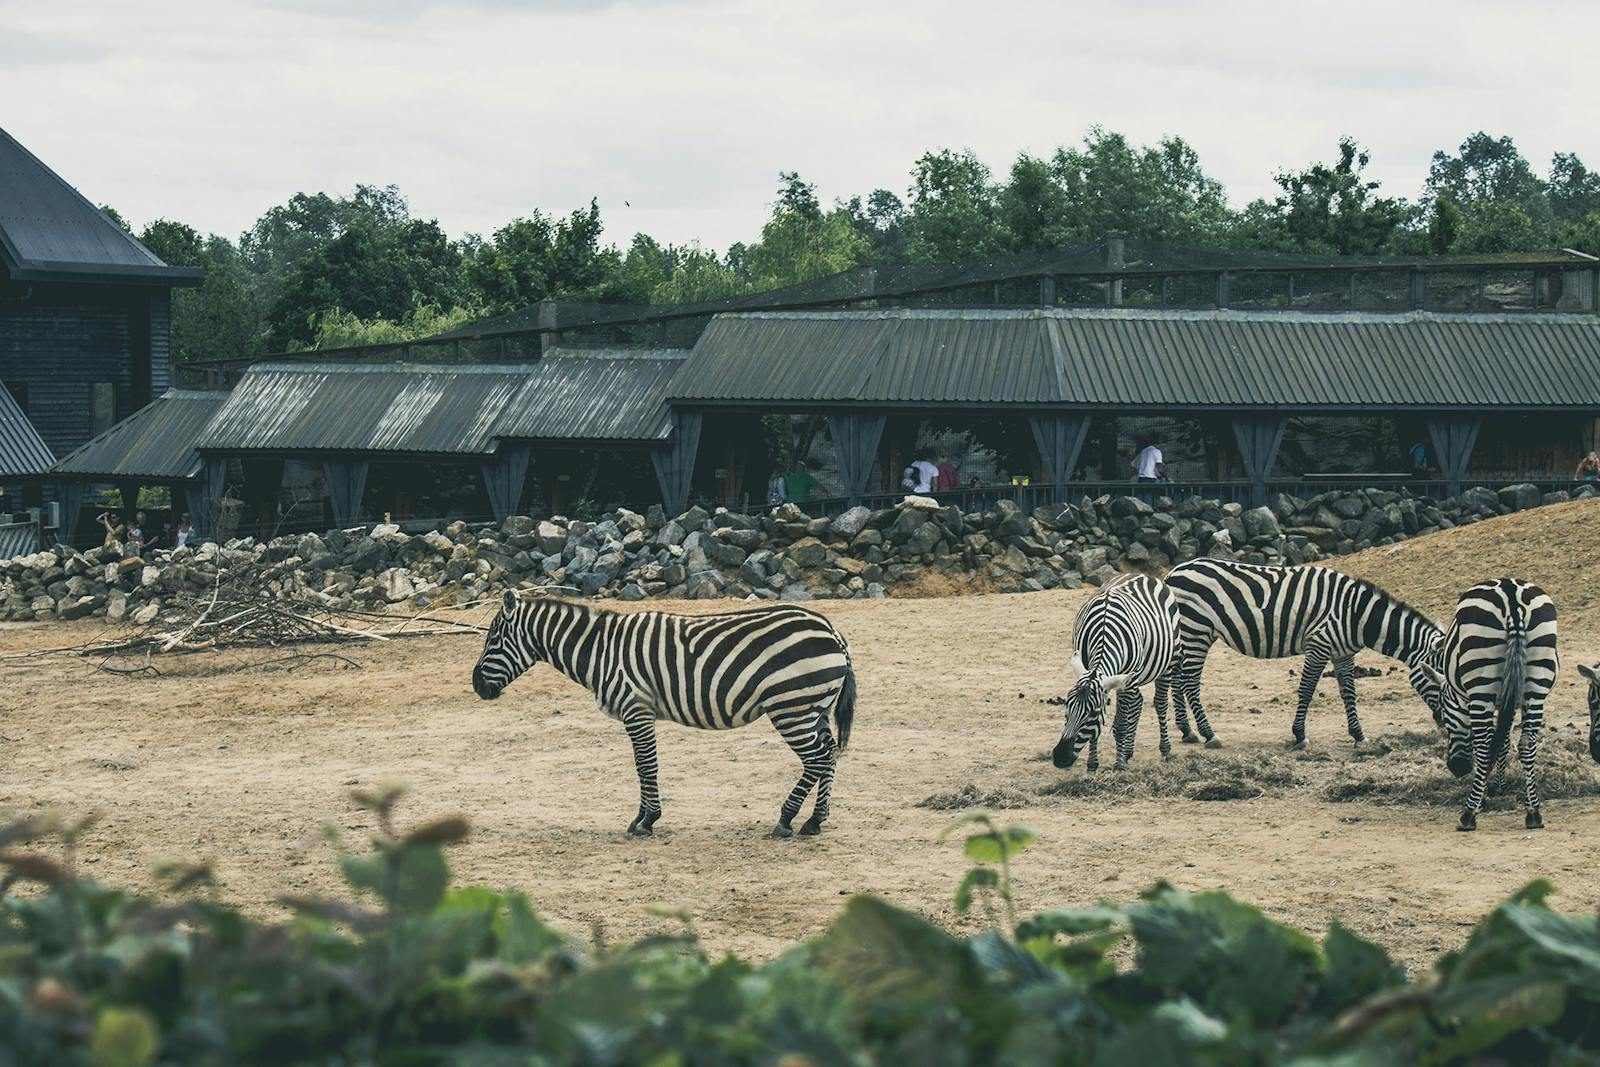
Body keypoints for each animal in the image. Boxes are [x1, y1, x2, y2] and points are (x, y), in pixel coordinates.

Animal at [471, 591, 856, 838]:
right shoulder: (639, 713)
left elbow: (646, 766)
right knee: (830, 754)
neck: (600, 651)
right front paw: (644, 817)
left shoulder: (637, 710)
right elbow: (643, 767)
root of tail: (832, 630)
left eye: (493, 640)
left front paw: (646, 821)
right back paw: (815, 821)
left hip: (792, 707)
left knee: (818, 758)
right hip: (814, 708)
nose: (476, 685)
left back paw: (787, 819)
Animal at [1054, 574, 1180, 771]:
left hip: (1168, 662)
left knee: (1160, 703)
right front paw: (1093, 764)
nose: (1060, 758)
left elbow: (1121, 724)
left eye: (1093, 713)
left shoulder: (1126, 681)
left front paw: (1119, 764)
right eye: (1067, 705)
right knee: (1138, 702)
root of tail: (1142, 574)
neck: (1104, 631)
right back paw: (1128, 751)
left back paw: (1165, 749)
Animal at [1164, 558, 1443, 749]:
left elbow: (1349, 693)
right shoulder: (1318, 645)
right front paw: (1299, 735)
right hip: (1196, 629)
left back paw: (1187, 731)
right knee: (1189, 681)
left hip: (1189, 633)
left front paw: (1359, 735)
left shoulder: (1343, 654)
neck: (1357, 615)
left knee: (1178, 680)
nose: (1442, 723)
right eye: (1438, 682)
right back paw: (1209, 733)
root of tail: (1174, 572)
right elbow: (1307, 690)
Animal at [1419, 579, 1558, 831]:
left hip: (1480, 680)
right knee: (1527, 744)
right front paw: (1498, 786)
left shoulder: (1476, 699)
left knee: (1484, 748)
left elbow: (1486, 742)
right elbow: (1502, 741)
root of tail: (1512, 597)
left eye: (1443, 717)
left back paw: (1468, 815)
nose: (1457, 768)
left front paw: (1483, 795)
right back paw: (1533, 813)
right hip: (1537, 681)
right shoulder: (1508, 700)